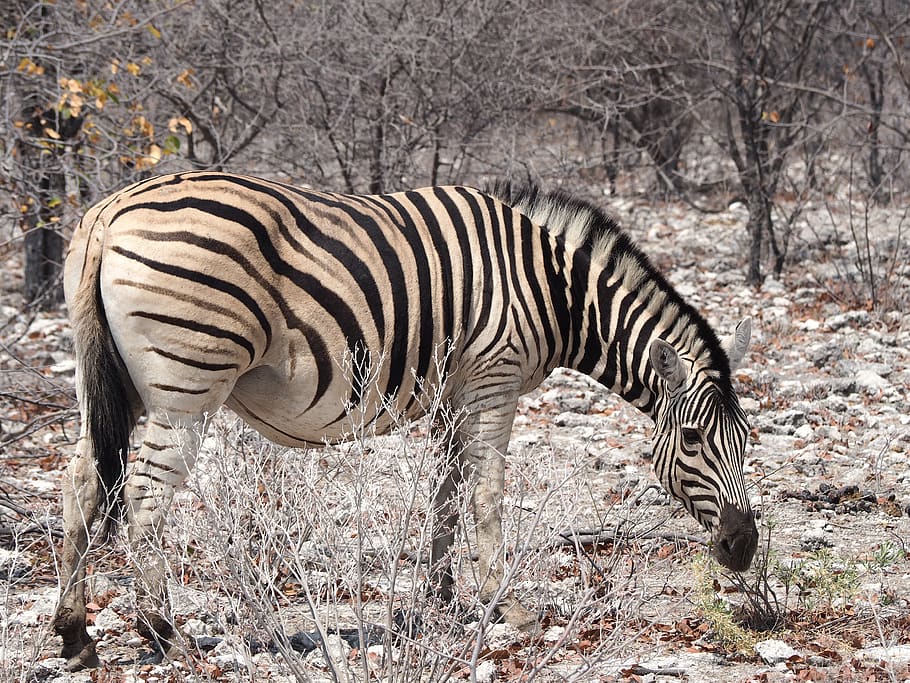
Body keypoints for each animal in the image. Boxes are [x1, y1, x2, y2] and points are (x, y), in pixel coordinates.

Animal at [54, 172, 757, 670]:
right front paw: (509, 604)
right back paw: (163, 633)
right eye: (694, 439)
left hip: (119, 386)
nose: (744, 548)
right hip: (187, 383)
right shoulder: (495, 380)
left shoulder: (453, 391)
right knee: (144, 501)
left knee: (79, 485)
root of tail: (108, 213)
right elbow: (487, 491)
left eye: (747, 441)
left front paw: (439, 599)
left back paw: (75, 634)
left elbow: (446, 491)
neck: (554, 291)